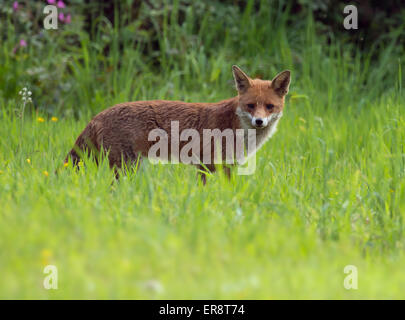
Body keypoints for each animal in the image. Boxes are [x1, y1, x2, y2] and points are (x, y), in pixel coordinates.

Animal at [64, 65, 288, 182]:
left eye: (269, 106)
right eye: (251, 106)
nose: (259, 121)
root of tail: (99, 114)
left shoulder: (226, 167)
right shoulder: (207, 165)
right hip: (125, 167)